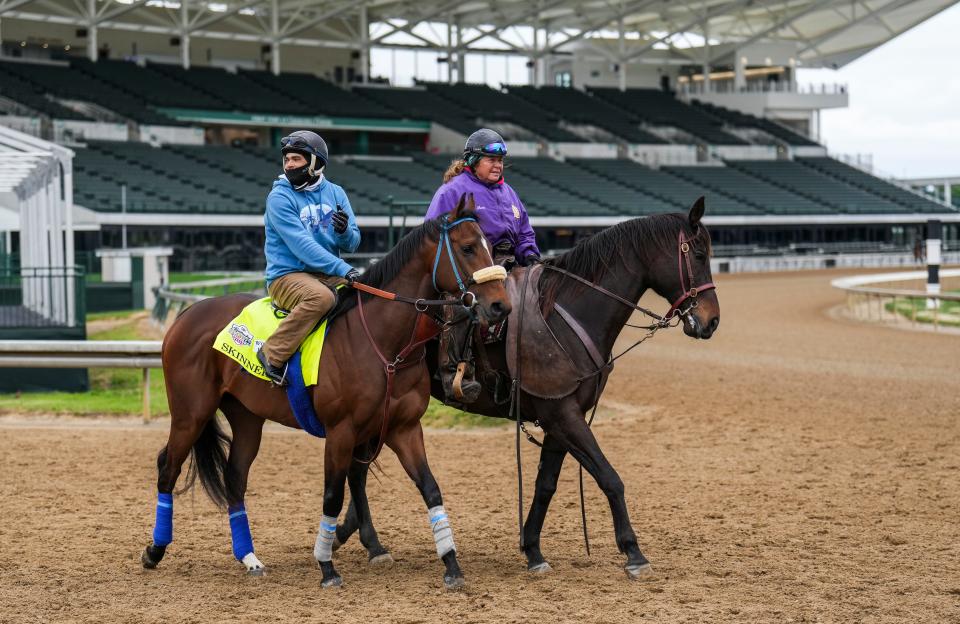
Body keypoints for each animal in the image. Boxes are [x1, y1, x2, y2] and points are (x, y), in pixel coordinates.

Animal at [141, 197, 510, 592]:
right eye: (468, 247)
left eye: (490, 246)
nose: (501, 306)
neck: (382, 343)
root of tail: (186, 314)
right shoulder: (341, 432)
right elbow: (333, 496)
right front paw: (327, 566)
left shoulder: (403, 428)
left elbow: (430, 488)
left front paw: (451, 564)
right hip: (190, 413)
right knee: (168, 466)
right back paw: (155, 550)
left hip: (246, 417)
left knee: (235, 478)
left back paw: (249, 558)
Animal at [330, 199, 720, 580]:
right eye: (699, 254)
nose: (712, 320)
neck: (563, 314)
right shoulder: (562, 414)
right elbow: (609, 477)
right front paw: (634, 553)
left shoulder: (560, 414)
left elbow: (545, 484)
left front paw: (533, 549)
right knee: (357, 469)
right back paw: (364, 540)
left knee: (358, 469)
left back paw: (355, 536)